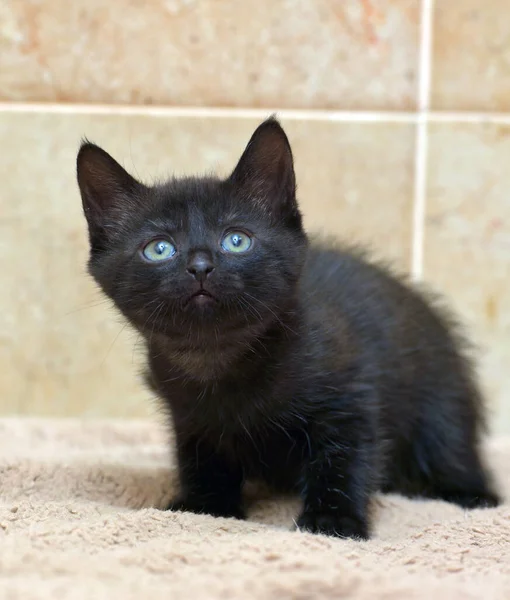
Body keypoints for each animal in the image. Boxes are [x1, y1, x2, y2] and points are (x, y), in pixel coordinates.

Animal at [77, 117, 500, 540]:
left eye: (236, 240)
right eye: (159, 248)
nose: (199, 266)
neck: (222, 361)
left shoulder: (348, 397)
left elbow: (343, 459)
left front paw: (333, 520)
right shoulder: (188, 416)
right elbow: (201, 459)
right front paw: (203, 505)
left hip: (441, 405)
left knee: (452, 452)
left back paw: (469, 496)